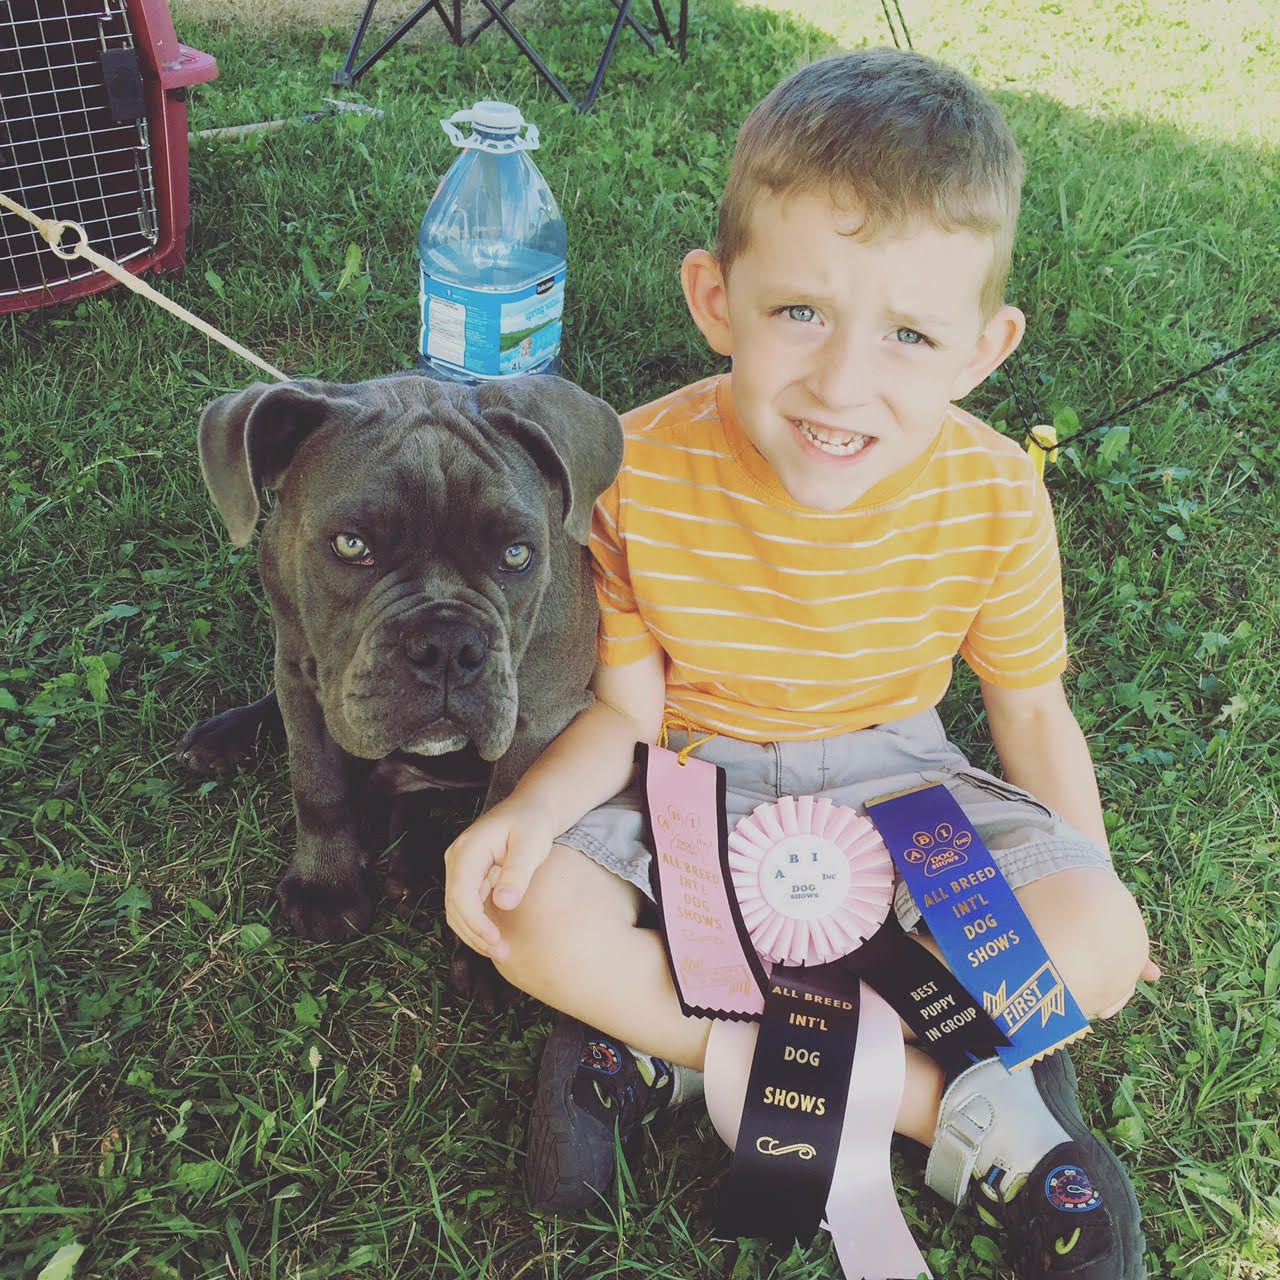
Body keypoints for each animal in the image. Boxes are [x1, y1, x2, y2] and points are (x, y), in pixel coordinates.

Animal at [177, 373, 623, 992]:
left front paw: (487, 953)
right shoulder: (299, 674)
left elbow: (504, 817)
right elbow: (317, 787)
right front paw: (326, 887)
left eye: (517, 554)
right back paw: (224, 736)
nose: (448, 646)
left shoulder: (538, 719)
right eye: (351, 545)